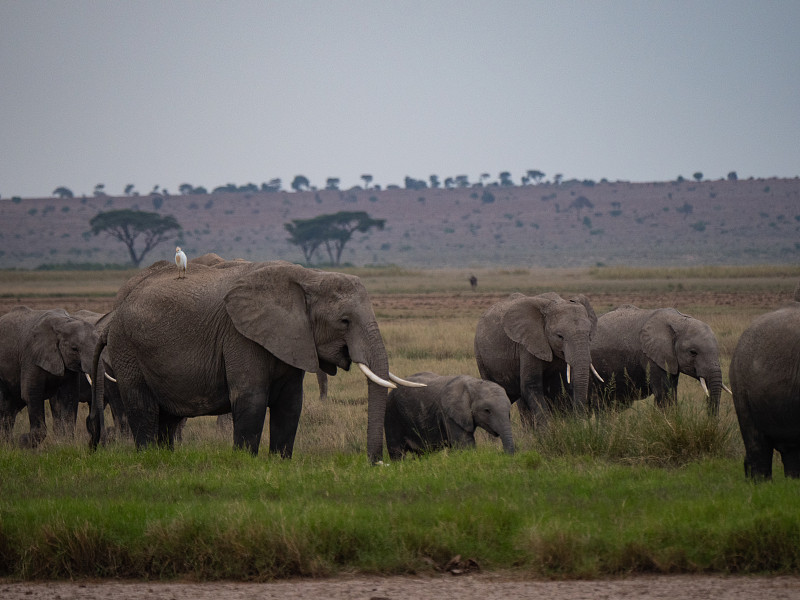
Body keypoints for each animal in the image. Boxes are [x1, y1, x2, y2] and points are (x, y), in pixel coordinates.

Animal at [0, 310, 97, 446]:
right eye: (74, 349)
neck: (63, 323)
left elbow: (70, 396)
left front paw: (66, 443)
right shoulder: (31, 357)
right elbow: (31, 394)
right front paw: (23, 442)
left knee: (9, 410)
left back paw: (8, 444)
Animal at [88, 255, 418, 462]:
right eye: (344, 321)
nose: (377, 462)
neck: (309, 277)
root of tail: (113, 316)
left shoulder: (291, 336)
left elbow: (290, 404)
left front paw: (280, 462)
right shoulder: (240, 335)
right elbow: (251, 397)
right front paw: (246, 462)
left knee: (167, 418)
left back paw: (165, 458)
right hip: (128, 350)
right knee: (143, 407)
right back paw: (147, 457)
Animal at [472, 292, 596, 428]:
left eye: (589, 334)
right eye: (560, 336)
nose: (580, 422)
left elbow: (561, 385)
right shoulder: (527, 345)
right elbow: (531, 385)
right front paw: (547, 431)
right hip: (480, 356)